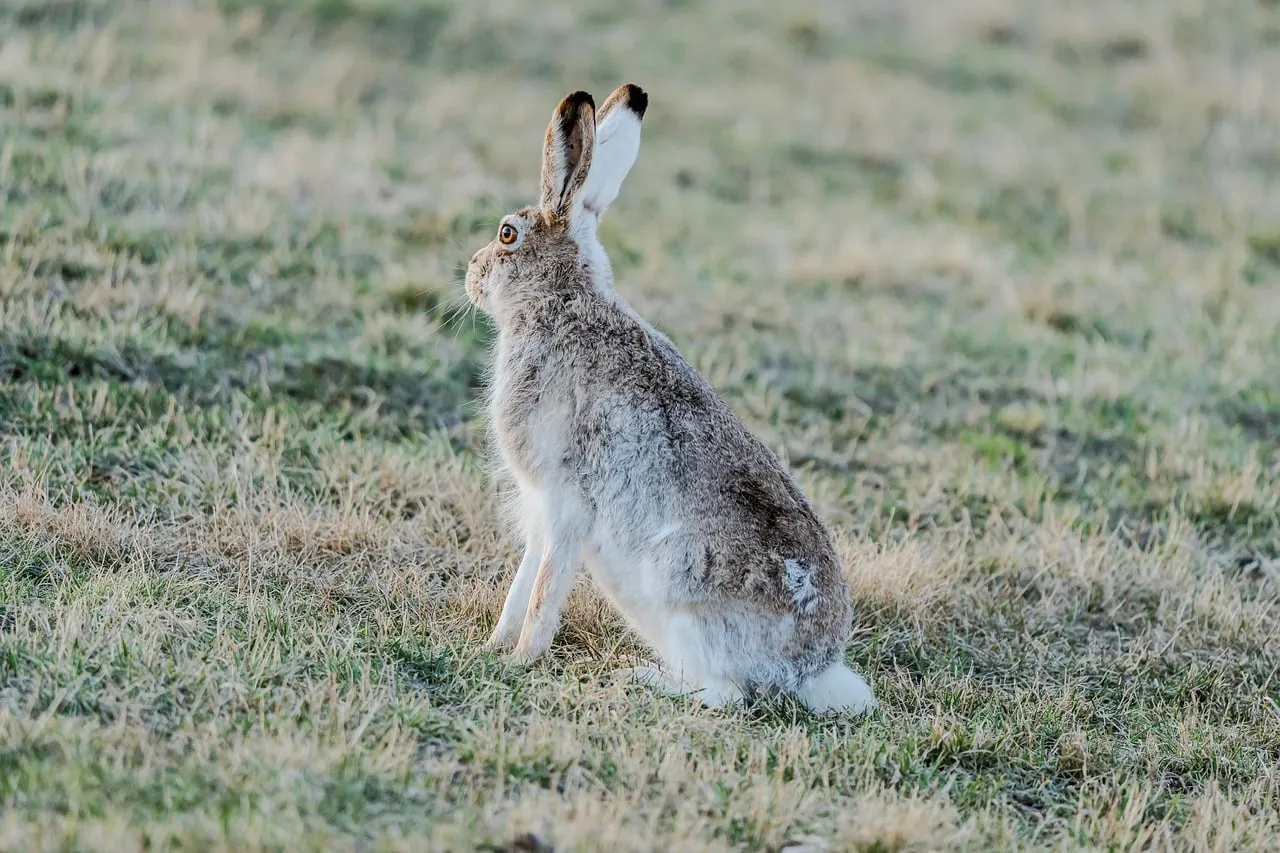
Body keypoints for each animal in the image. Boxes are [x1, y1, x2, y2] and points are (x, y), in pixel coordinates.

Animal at [464, 84, 876, 715]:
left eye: (508, 234)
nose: (470, 274)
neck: (562, 302)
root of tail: (810, 670)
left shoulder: (564, 502)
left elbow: (543, 591)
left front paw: (519, 660)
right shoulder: (539, 509)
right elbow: (522, 583)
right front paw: (494, 645)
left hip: (677, 588)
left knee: (725, 692)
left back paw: (637, 678)